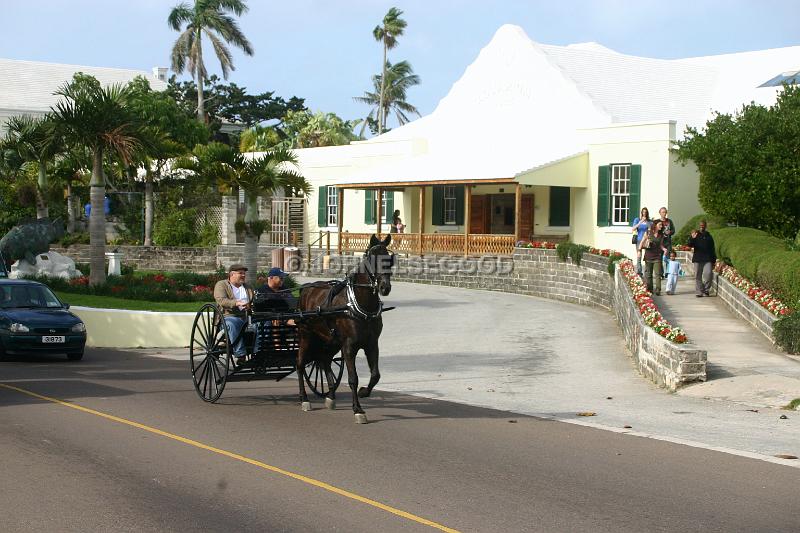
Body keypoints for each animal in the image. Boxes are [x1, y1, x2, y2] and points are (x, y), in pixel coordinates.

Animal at [294, 233, 394, 424]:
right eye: (372, 259)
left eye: (389, 260)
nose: (385, 287)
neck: (359, 305)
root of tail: (305, 289)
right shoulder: (349, 346)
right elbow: (353, 378)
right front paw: (358, 410)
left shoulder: (372, 344)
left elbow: (375, 375)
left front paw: (364, 392)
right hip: (306, 335)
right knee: (301, 364)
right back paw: (304, 399)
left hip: (331, 340)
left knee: (324, 360)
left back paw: (330, 396)